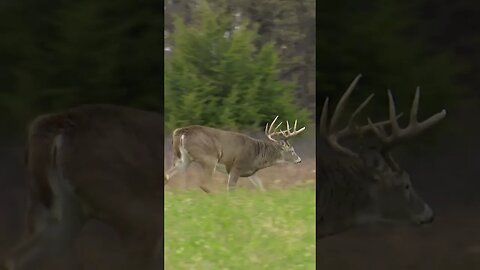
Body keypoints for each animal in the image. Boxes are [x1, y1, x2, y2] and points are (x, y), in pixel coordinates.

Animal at [164, 116, 308, 192]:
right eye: (292, 150)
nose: (300, 160)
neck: (258, 155)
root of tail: (182, 132)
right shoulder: (236, 167)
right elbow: (231, 188)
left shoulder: (251, 172)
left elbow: (261, 188)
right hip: (209, 158)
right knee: (203, 184)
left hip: (182, 159)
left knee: (167, 175)